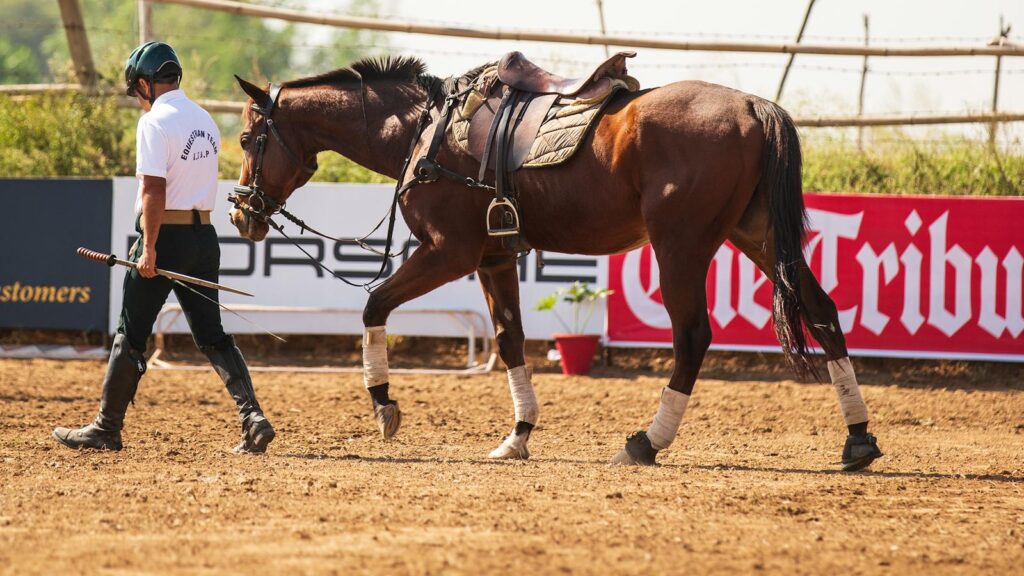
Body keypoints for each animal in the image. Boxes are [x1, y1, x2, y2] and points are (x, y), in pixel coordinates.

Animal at [229, 55, 883, 471]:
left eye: (246, 140)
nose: (241, 214)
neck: (426, 130)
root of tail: (751, 105)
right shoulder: (494, 259)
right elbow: (510, 339)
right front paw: (517, 436)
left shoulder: (448, 253)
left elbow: (374, 304)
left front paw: (384, 404)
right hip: (760, 238)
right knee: (822, 311)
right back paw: (858, 440)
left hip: (681, 246)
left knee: (693, 336)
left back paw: (646, 442)